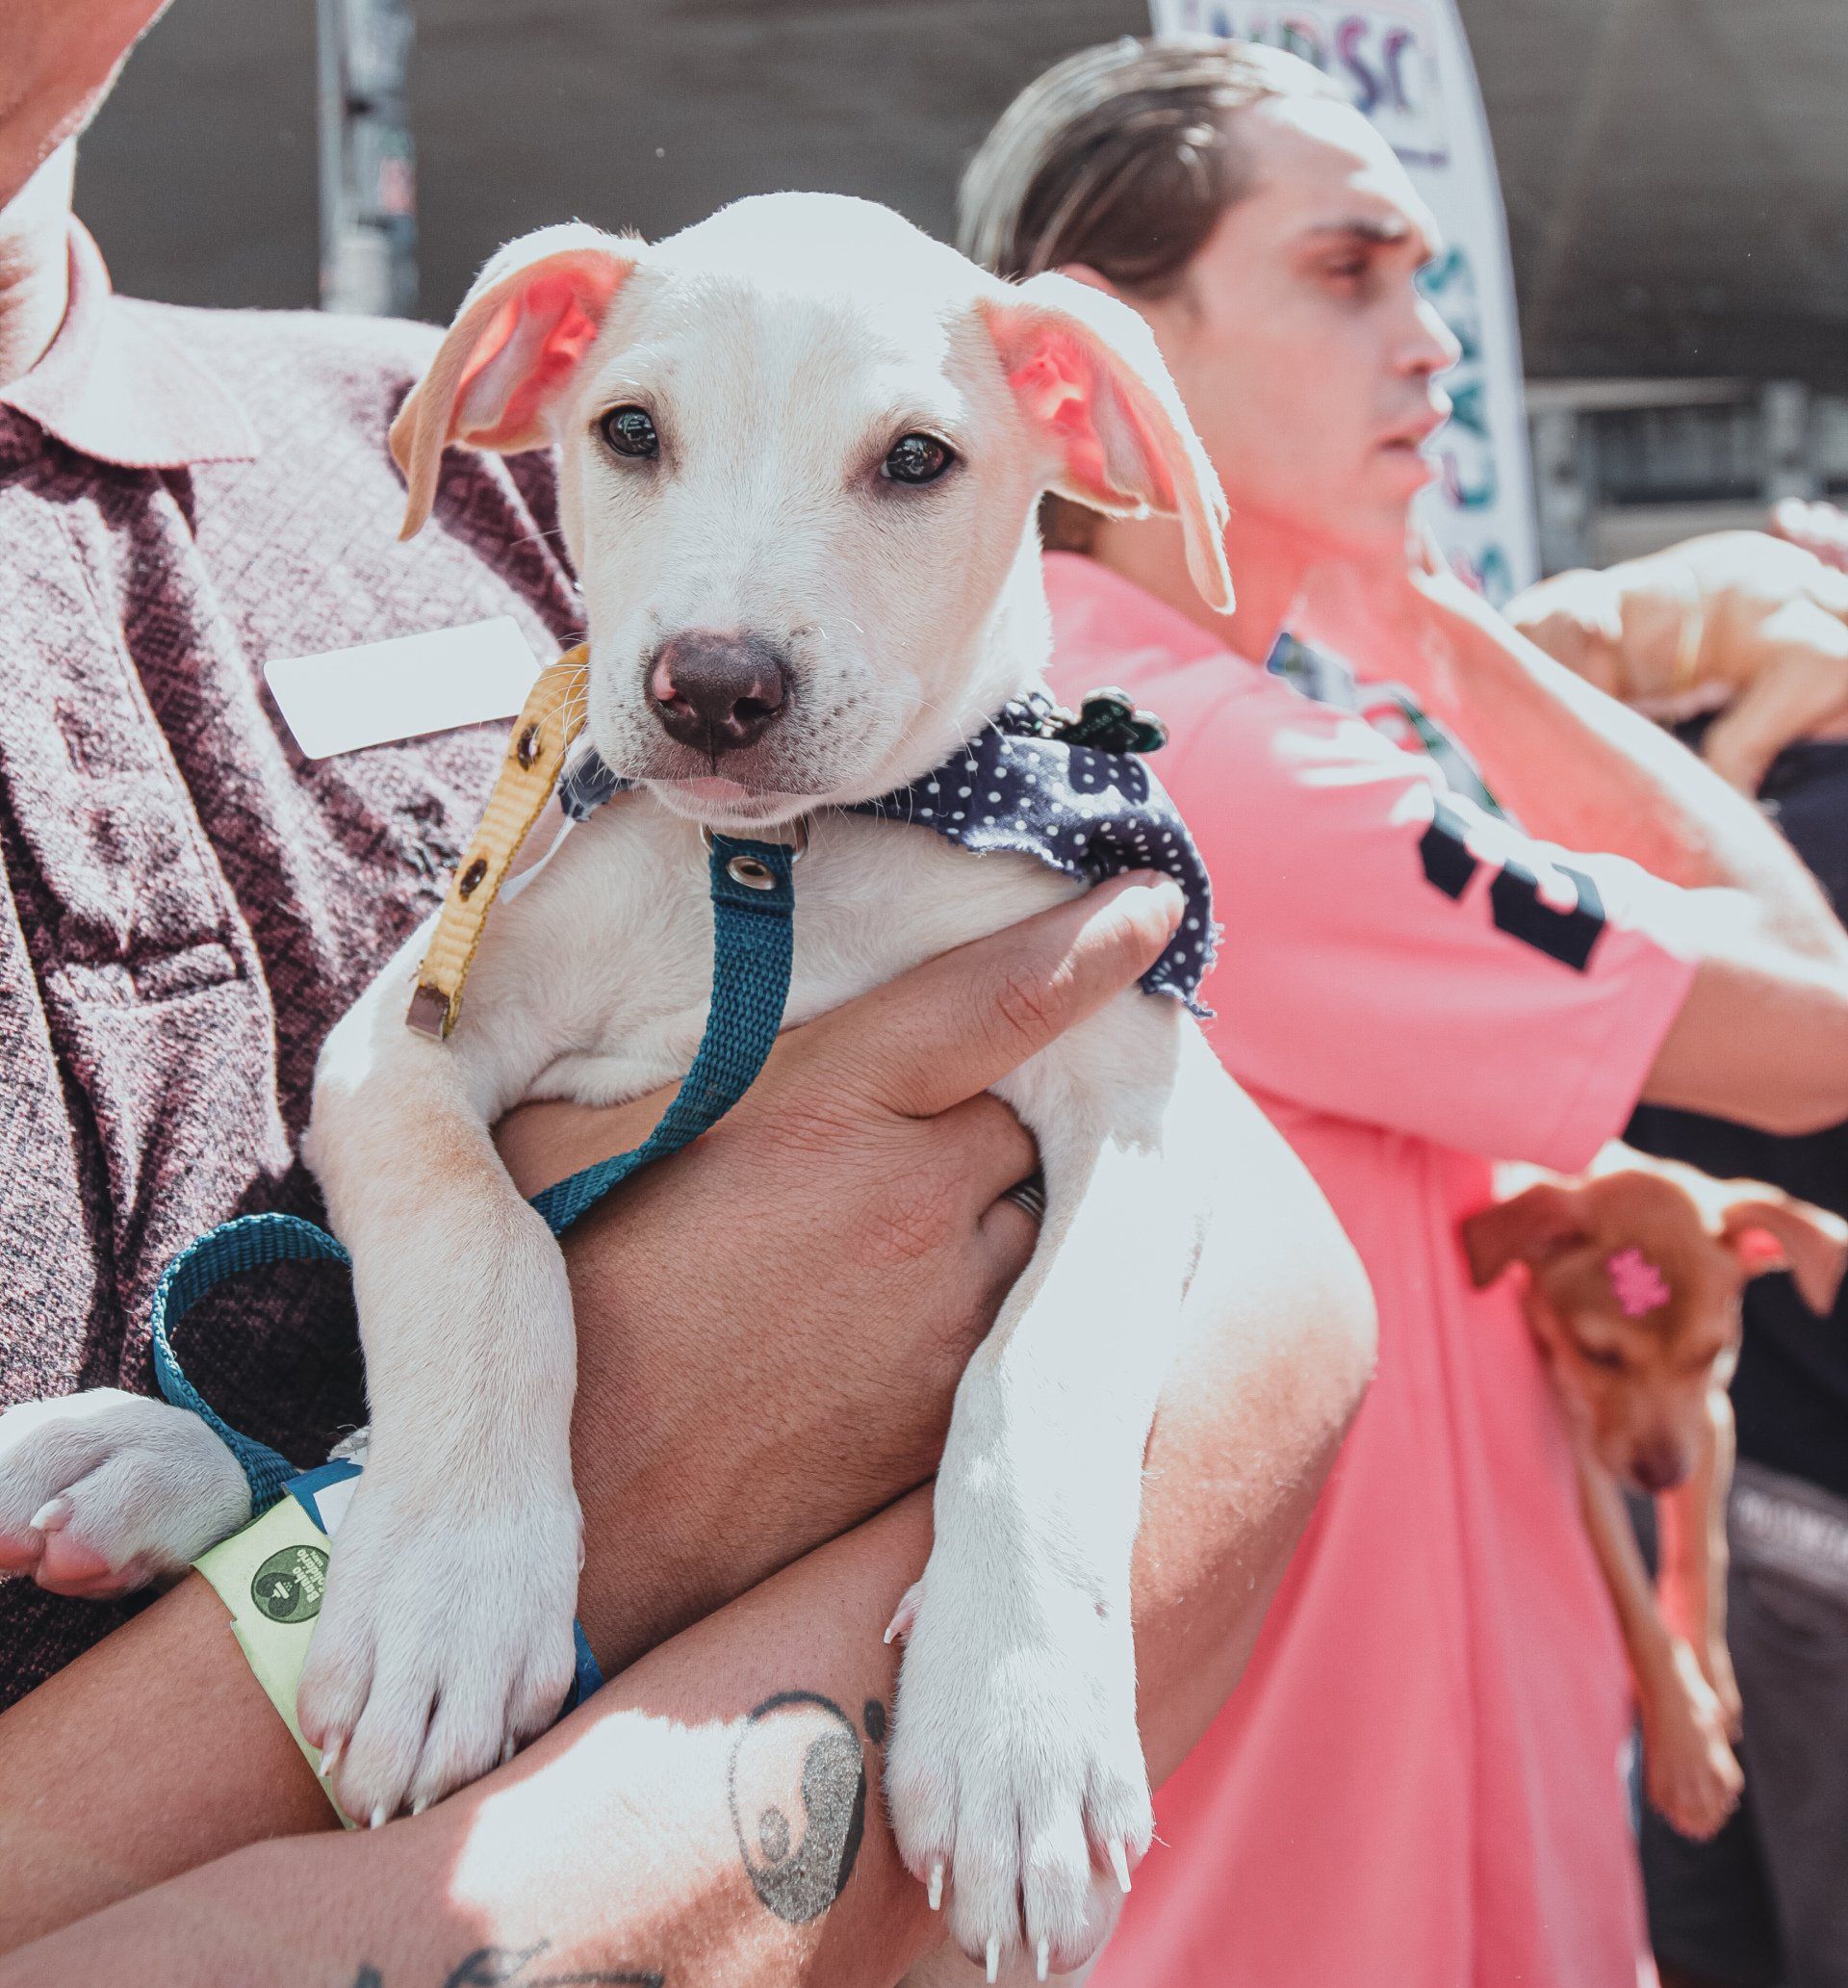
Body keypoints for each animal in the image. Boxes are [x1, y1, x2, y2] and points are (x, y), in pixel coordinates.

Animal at [0, 193, 1269, 1981]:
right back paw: (119, 1460)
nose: (712, 685)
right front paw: (448, 1592)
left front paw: (1023, 1727)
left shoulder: (1144, 1100)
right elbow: (485, 1256)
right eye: (629, 432)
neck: (780, 875)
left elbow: (1048, 1371)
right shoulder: (408, 1037)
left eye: (918, 459)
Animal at [1461, 1143, 1847, 1838]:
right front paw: (1687, 1742)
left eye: (1710, 1352)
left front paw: (1710, 1679)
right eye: (1599, 1355)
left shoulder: (1710, 1420)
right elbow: (1635, 1603)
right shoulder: (1581, 1454)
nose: (1662, 1476)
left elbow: (1703, 1553)